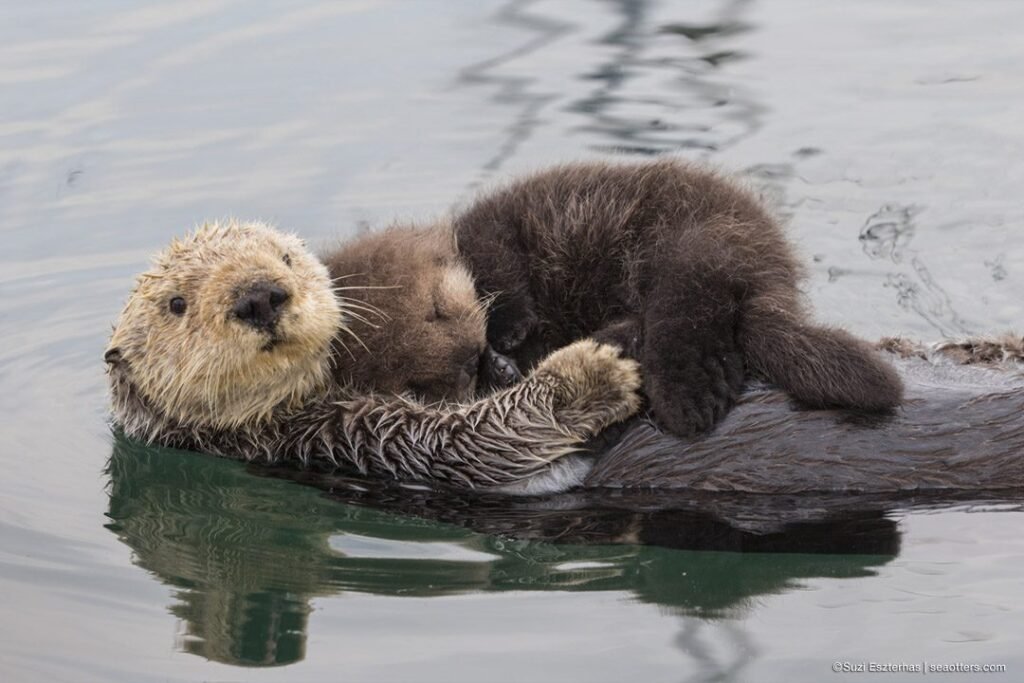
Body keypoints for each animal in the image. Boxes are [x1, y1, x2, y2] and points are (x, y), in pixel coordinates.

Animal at [105, 222, 647, 489]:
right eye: (176, 303)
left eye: (285, 258)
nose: (258, 296)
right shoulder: (342, 436)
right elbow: (478, 441)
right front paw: (590, 374)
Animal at [452, 161, 901, 432]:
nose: (499, 358)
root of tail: (772, 277)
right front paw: (503, 364)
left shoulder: (484, 232)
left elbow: (494, 261)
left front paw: (508, 331)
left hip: (696, 247)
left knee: (686, 323)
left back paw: (692, 401)